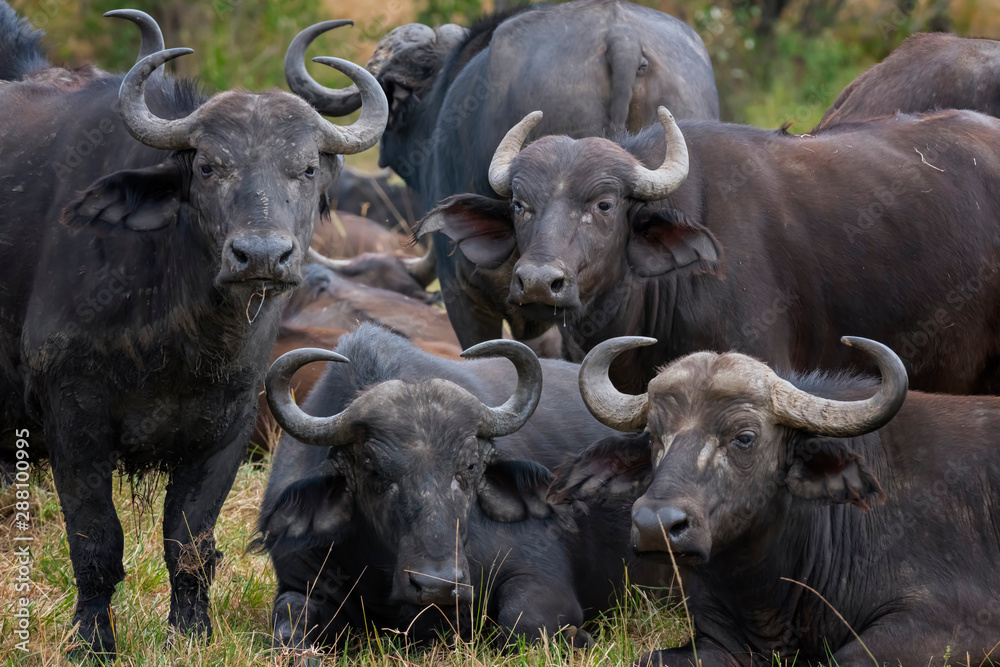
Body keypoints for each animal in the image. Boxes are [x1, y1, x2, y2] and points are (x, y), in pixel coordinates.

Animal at [0, 10, 387, 659]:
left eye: (307, 167)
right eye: (208, 166)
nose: (261, 255)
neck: (179, 335)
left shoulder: (230, 424)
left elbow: (190, 543)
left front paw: (191, 632)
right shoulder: (72, 416)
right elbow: (95, 539)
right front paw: (92, 642)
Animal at [256, 324, 670, 650]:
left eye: (470, 466)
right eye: (372, 470)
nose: (436, 585)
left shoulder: (540, 576)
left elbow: (523, 623)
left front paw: (579, 638)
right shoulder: (299, 581)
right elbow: (289, 628)